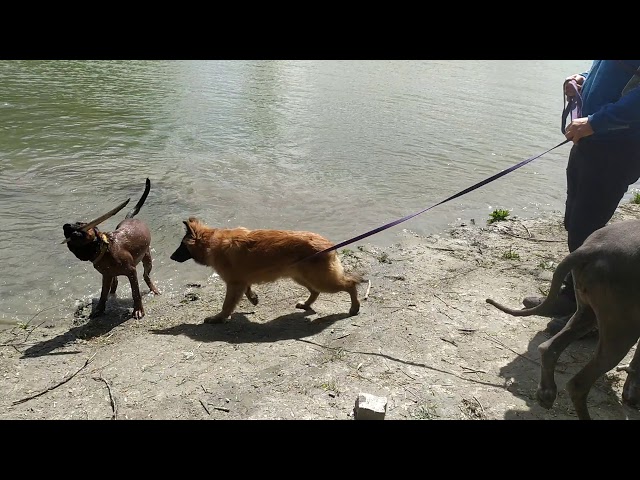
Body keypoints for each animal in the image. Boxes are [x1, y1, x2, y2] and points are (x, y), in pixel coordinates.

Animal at [169, 217, 364, 322]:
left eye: (181, 246)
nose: (170, 258)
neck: (211, 241)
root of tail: (329, 244)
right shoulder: (240, 281)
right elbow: (247, 289)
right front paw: (253, 298)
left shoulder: (233, 283)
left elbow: (227, 305)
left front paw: (218, 318)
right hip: (302, 277)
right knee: (315, 291)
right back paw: (306, 304)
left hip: (321, 279)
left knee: (350, 284)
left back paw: (354, 308)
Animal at [484, 219, 640, 418]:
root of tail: (592, 248)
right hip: (622, 328)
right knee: (578, 384)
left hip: (589, 312)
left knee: (548, 348)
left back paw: (546, 394)